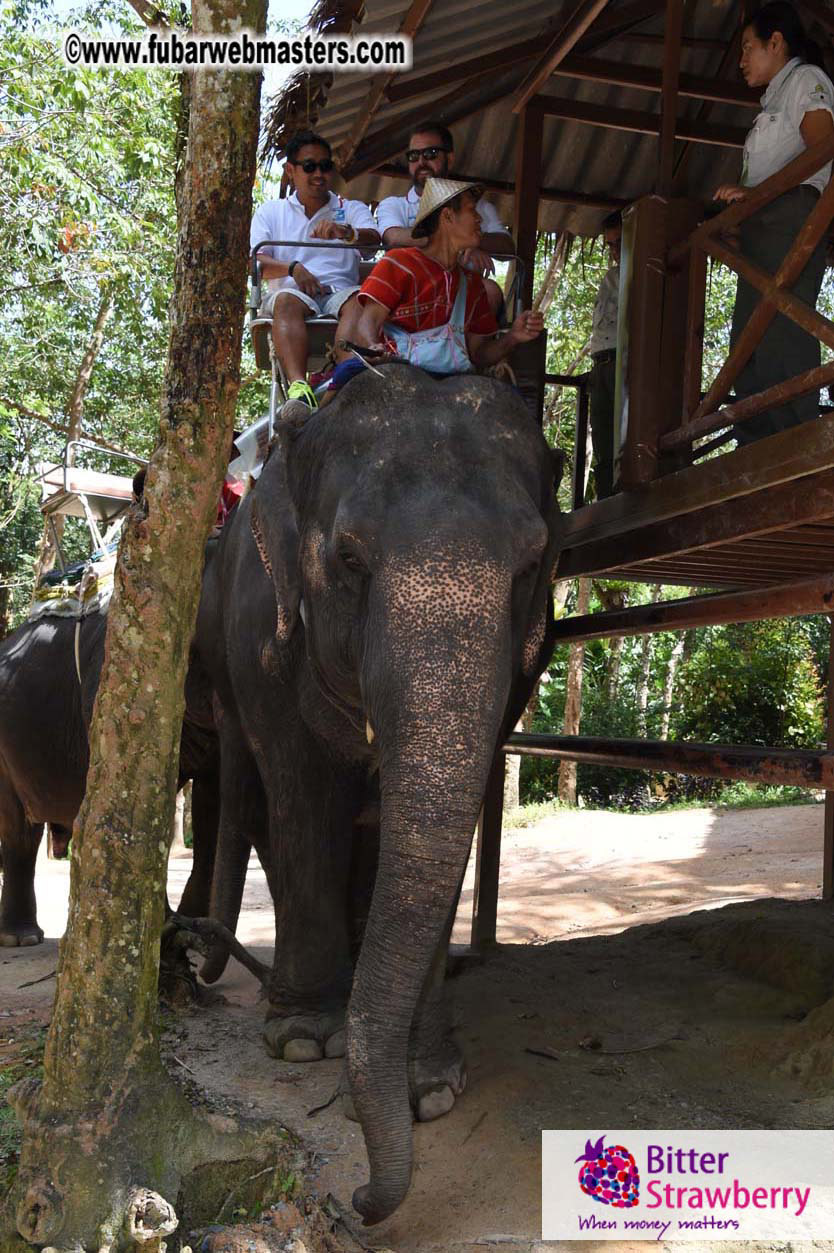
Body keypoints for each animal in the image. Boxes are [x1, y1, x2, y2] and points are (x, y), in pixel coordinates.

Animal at [195, 362, 563, 1224]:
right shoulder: (269, 643)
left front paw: (429, 1087)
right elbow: (305, 802)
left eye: (531, 564)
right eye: (349, 557)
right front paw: (302, 1039)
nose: (361, 1199)